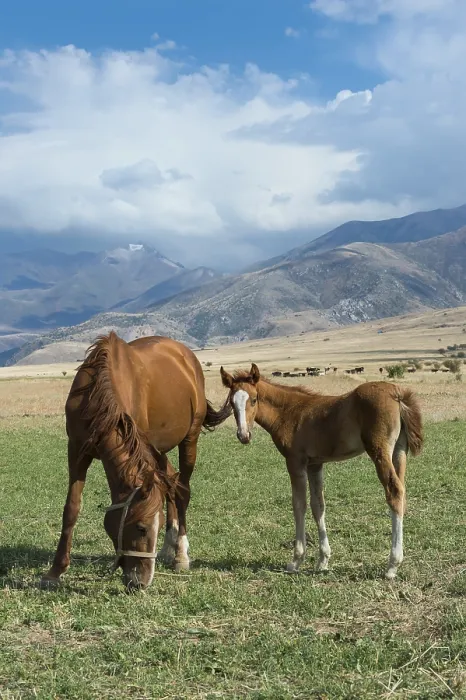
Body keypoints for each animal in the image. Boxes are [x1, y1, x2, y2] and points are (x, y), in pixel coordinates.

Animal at [42, 332, 231, 591]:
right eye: (141, 528)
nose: (142, 581)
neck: (100, 396)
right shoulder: (77, 451)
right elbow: (71, 508)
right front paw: (55, 571)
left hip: (189, 440)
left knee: (183, 490)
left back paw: (180, 553)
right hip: (158, 449)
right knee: (170, 482)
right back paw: (169, 547)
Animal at [220, 364, 423, 580]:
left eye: (254, 399)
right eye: (231, 403)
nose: (244, 435)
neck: (288, 412)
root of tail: (397, 392)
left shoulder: (295, 462)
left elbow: (299, 505)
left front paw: (296, 560)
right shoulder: (315, 464)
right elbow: (318, 506)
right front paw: (322, 560)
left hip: (380, 451)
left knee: (393, 492)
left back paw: (392, 565)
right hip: (399, 451)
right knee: (402, 492)